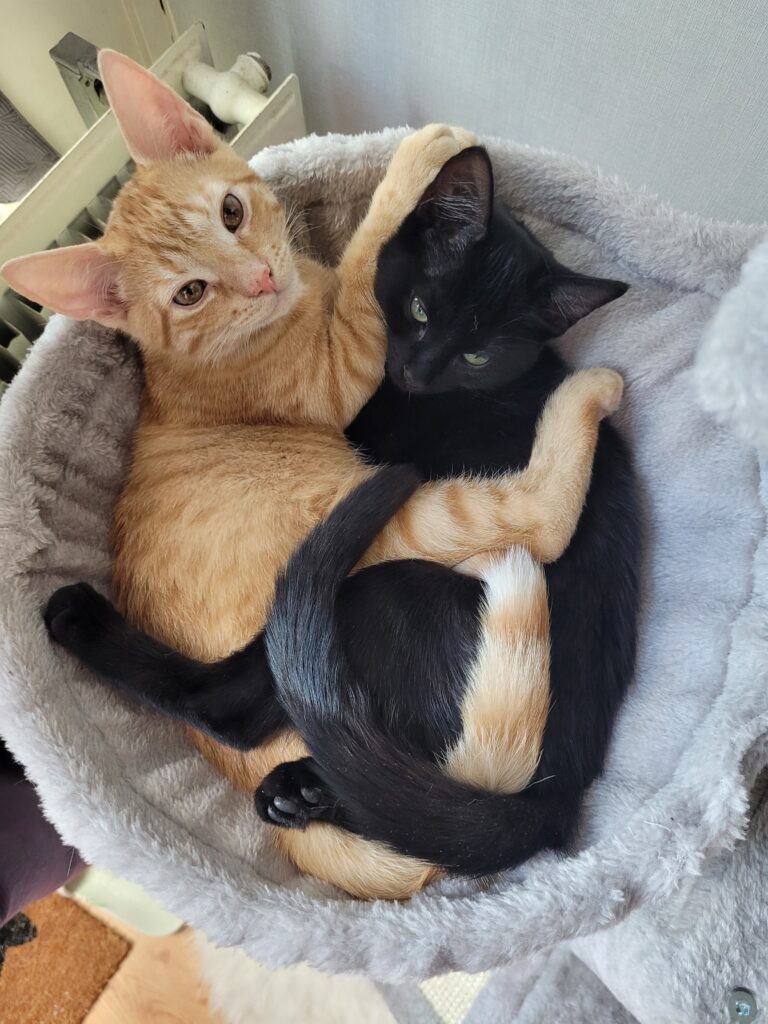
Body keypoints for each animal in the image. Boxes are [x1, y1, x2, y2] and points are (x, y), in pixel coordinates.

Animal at [5, 49, 622, 900]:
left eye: (232, 212)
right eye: (191, 292)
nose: (262, 278)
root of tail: (547, 792)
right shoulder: (345, 372)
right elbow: (364, 266)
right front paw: (421, 156)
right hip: (377, 553)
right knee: (232, 698)